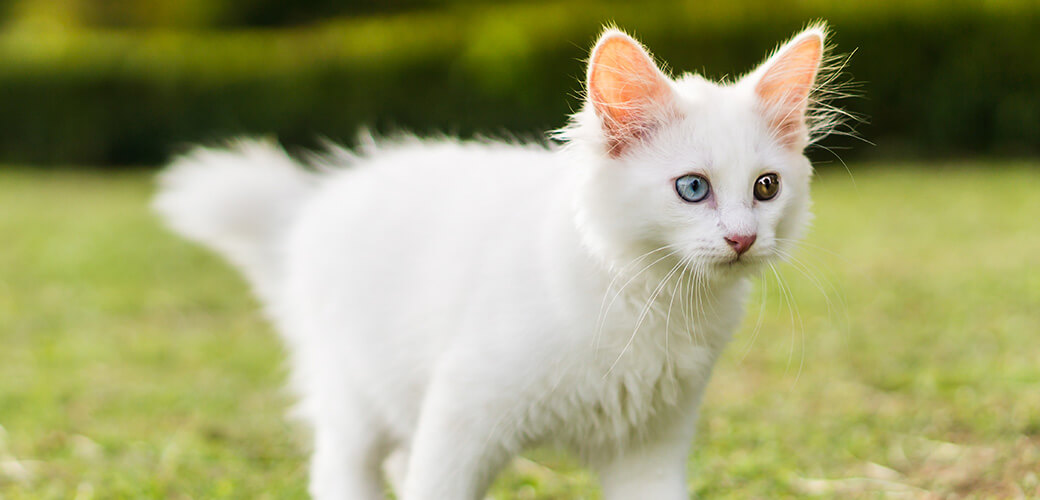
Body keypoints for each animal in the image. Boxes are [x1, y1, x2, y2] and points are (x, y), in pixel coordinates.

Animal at [153, 23, 832, 498]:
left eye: (766, 188)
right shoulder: (464, 413)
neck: (651, 300)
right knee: (342, 469)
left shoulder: (651, 444)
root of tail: (313, 202)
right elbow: (434, 488)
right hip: (355, 393)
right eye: (692, 188)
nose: (743, 238)